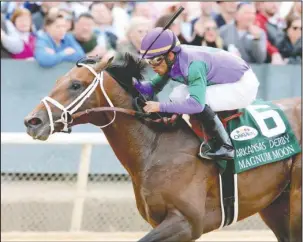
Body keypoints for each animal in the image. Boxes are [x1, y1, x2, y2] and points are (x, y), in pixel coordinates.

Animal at [25, 54, 302, 242]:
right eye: (58, 80)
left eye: (76, 85)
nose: (32, 121)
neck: (156, 147)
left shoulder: (187, 223)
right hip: (276, 203)